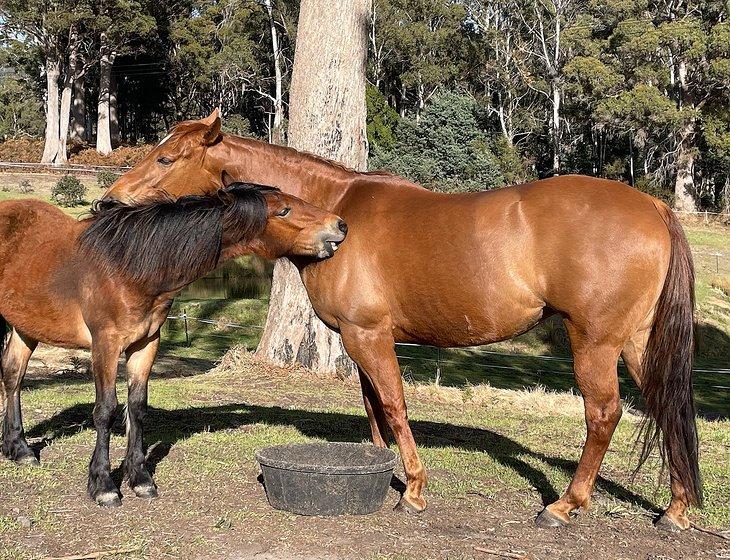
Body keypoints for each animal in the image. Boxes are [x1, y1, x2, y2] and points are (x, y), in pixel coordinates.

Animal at [1, 184, 346, 508]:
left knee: (13, 376)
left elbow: (137, 408)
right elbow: (106, 410)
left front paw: (140, 479)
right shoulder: (106, 345)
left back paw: (19, 449)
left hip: (25, 328)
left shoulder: (146, 344)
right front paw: (103, 485)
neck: (128, 267)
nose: (339, 225)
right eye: (285, 210)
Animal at [104, 110, 700, 532]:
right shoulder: (359, 337)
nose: (111, 201)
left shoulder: (368, 333)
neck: (333, 211)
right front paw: (379, 467)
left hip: (594, 342)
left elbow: (392, 403)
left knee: (604, 414)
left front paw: (412, 489)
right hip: (638, 343)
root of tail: (654, 208)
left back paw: (565, 505)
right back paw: (675, 511)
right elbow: (373, 409)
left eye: (166, 159)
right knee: (667, 406)